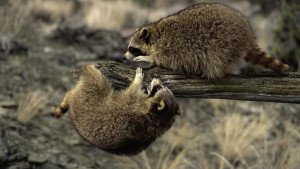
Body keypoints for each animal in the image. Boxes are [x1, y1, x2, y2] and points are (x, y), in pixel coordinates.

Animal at [123, 2, 290, 79]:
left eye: (132, 48)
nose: (123, 57)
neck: (156, 33)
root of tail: (248, 35)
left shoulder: (172, 46)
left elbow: (166, 59)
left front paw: (149, 58)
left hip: (227, 45)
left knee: (218, 60)